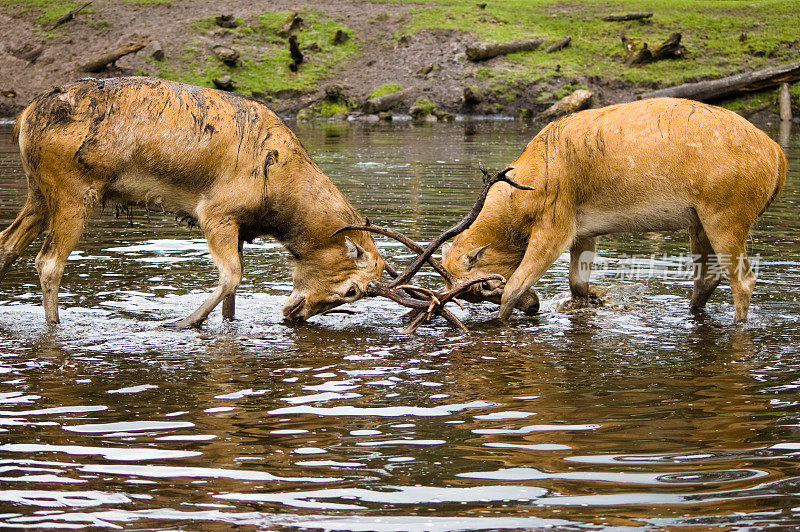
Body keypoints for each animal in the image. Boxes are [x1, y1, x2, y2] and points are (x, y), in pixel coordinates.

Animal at [0, 78, 388, 328]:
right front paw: (181, 322)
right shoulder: (216, 212)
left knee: (8, 243)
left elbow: (234, 295)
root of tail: (22, 117)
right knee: (48, 262)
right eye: (351, 290)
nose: (297, 315)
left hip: (39, 190)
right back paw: (54, 325)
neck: (277, 198)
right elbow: (231, 276)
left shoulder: (240, 227)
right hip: (73, 190)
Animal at [438, 98, 788, 324]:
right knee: (707, 279)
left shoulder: (556, 224)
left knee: (743, 280)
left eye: (485, 285)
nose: (534, 306)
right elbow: (577, 284)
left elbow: (513, 288)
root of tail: (778, 157)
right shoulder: (584, 231)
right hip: (698, 220)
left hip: (727, 213)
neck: (524, 193)